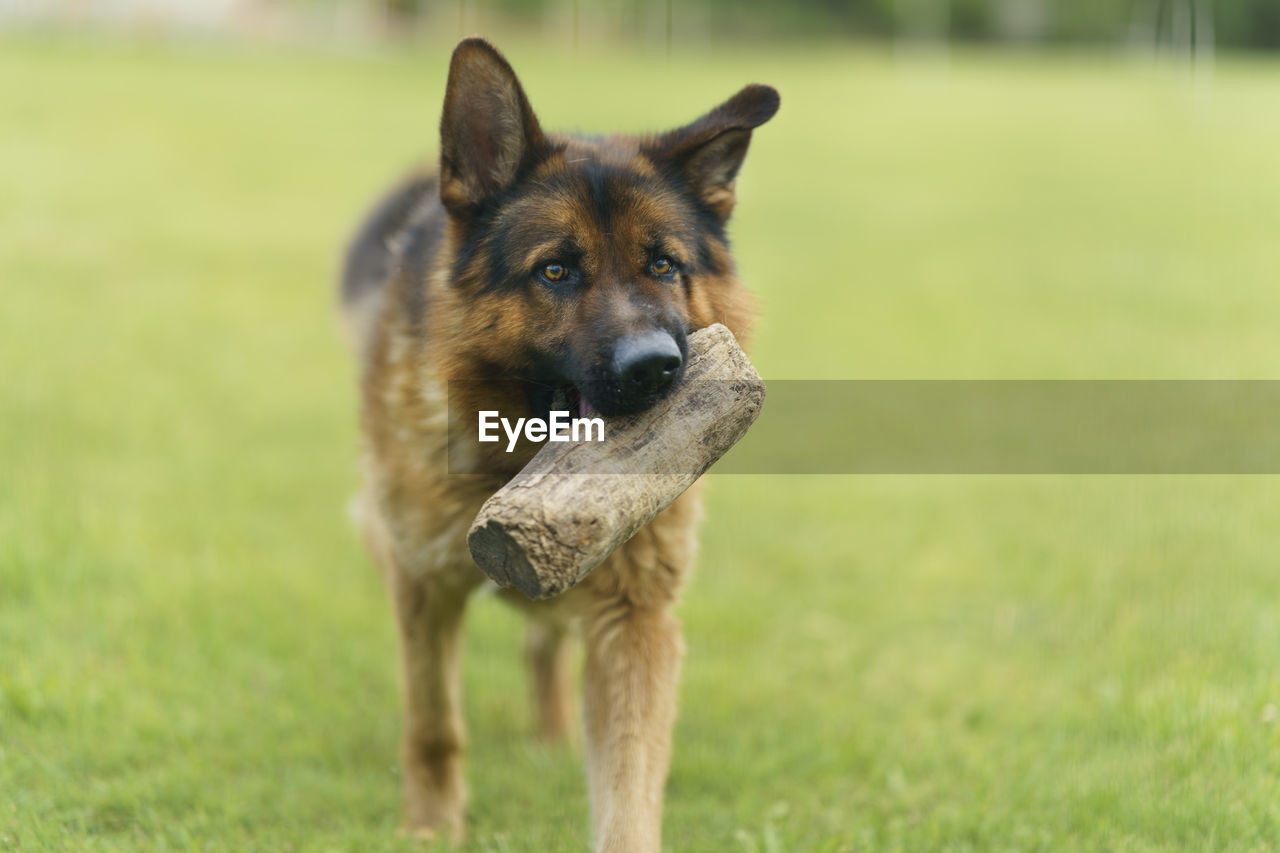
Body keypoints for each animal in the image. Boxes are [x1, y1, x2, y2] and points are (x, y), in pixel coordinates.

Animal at [340, 36, 773, 845]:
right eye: (556, 271)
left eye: (662, 264)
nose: (654, 369)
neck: (512, 465)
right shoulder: (422, 582)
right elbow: (433, 725)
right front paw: (432, 830)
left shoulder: (636, 618)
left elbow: (629, 793)